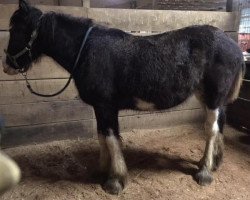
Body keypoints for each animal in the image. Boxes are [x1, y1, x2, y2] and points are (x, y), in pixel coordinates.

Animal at [1, 0, 244, 195]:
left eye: (17, 29)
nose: (7, 66)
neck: (87, 51)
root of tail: (234, 45)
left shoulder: (106, 106)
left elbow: (111, 138)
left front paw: (115, 180)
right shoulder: (100, 107)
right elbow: (102, 136)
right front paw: (101, 169)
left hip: (214, 96)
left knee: (211, 129)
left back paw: (204, 172)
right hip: (209, 96)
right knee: (219, 125)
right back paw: (213, 162)